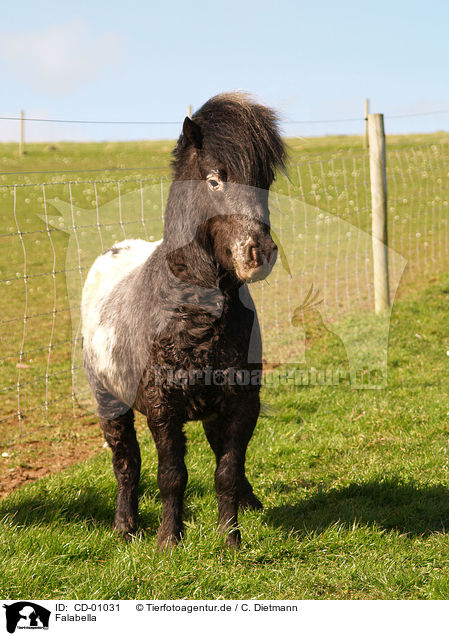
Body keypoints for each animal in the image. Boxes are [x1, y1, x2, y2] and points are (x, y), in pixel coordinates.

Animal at [82, 93, 286, 548]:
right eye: (214, 181)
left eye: (264, 181)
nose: (259, 253)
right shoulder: (163, 410)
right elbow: (171, 475)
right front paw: (168, 540)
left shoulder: (241, 405)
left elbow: (227, 470)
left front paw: (231, 539)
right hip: (111, 403)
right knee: (126, 462)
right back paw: (125, 526)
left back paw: (250, 504)